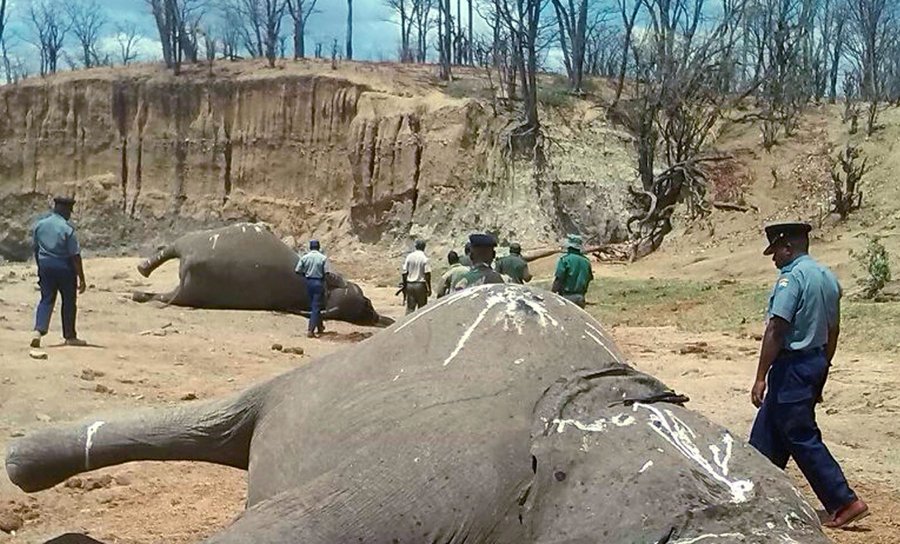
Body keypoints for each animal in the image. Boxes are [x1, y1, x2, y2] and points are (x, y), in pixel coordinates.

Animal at [132, 222, 392, 328]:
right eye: (368, 301)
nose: (378, 317)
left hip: (188, 281)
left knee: (163, 291)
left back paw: (139, 290)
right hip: (189, 243)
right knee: (166, 254)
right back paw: (141, 275)